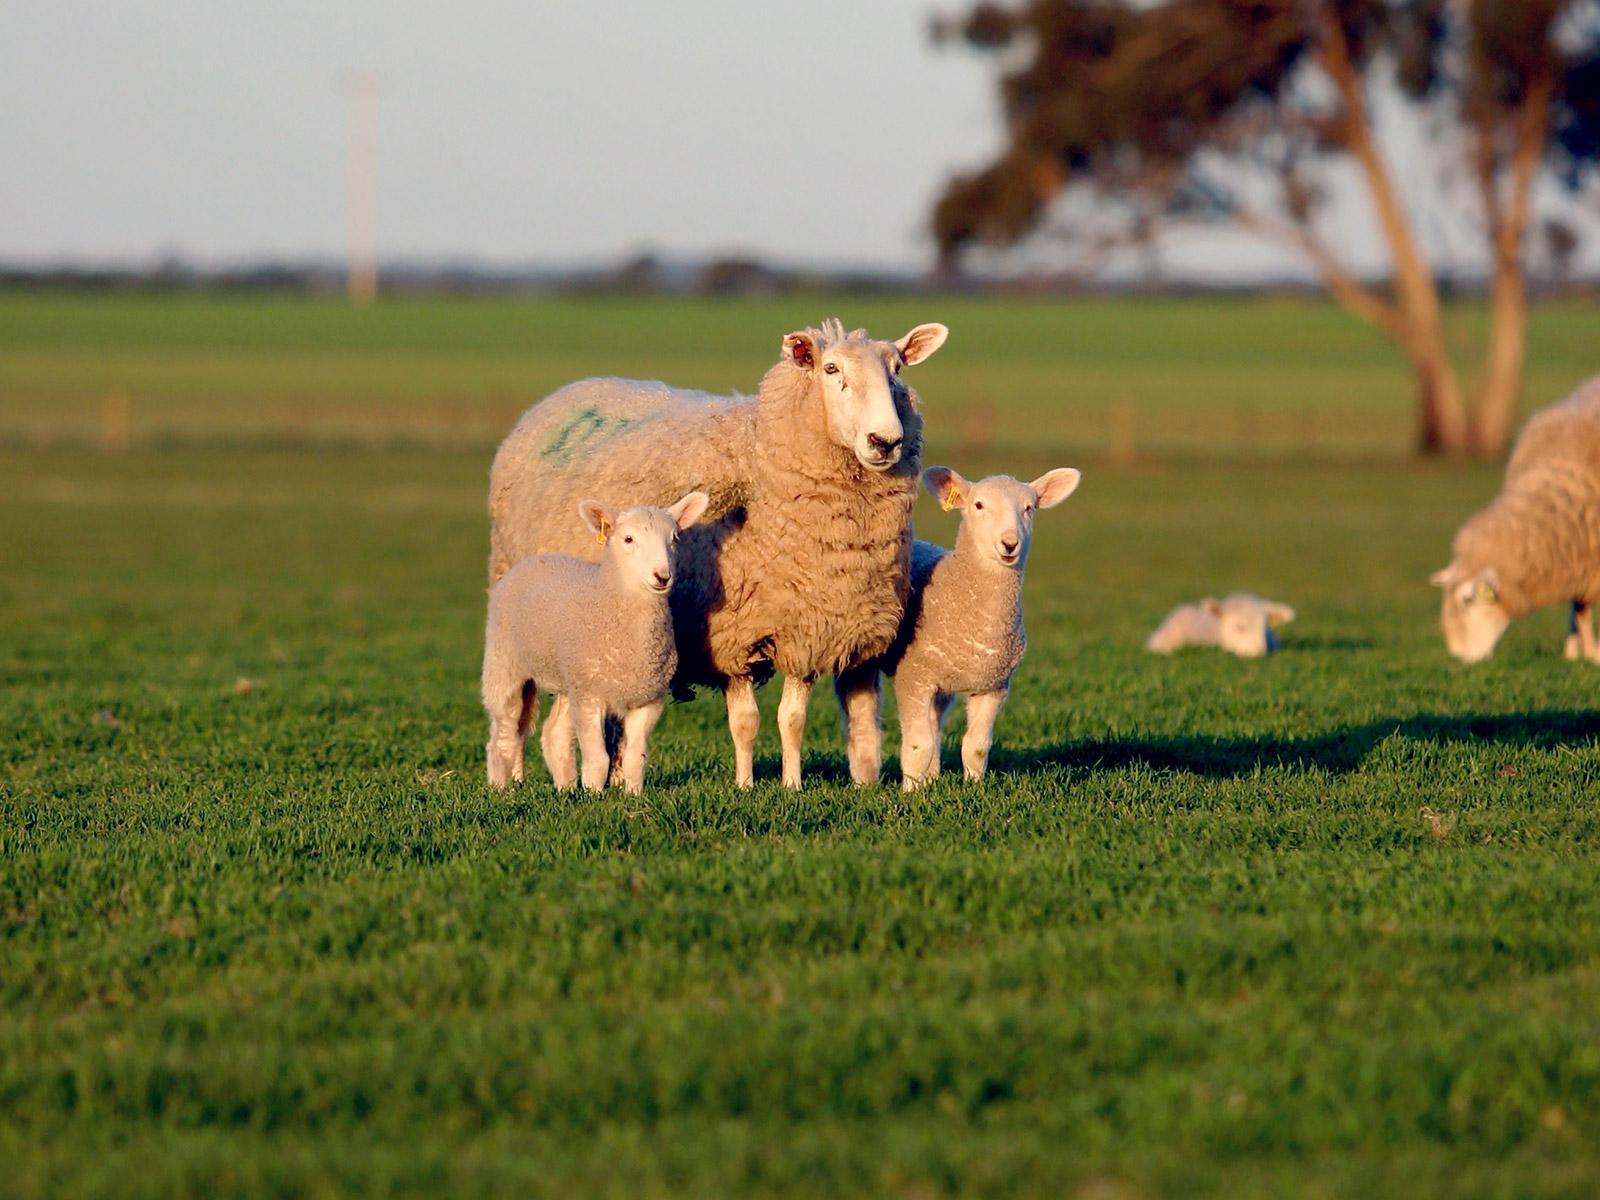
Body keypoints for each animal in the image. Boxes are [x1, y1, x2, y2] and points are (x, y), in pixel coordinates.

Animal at [476, 492, 710, 793]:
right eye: (628, 539)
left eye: (675, 538)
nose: (662, 576)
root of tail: (536, 559)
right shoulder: (590, 699)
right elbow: (599, 759)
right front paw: (594, 795)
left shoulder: (647, 700)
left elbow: (635, 757)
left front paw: (633, 794)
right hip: (505, 665)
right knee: (502, 733)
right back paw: (500, 788)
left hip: (571, 679)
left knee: (554, 733)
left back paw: (565, 788)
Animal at [838, 464, 1088, 793]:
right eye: (978, 505)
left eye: (1029, 508)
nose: (1010, 543)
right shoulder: (913, 677)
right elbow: (917, 746)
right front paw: (910, 791)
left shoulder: (993, 685)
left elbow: (976, 746)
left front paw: (973, 787)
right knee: (860, 716)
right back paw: (865, 781)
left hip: (944, 680)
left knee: (935, 723)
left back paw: (931, 778)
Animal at [1433, 377, 1600, 668]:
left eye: (1467, 600)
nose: (1459, 656)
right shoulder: (1581, 562)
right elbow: (1580, 608)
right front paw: (1577, 653)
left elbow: (1583, 610)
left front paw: (1592, 655)